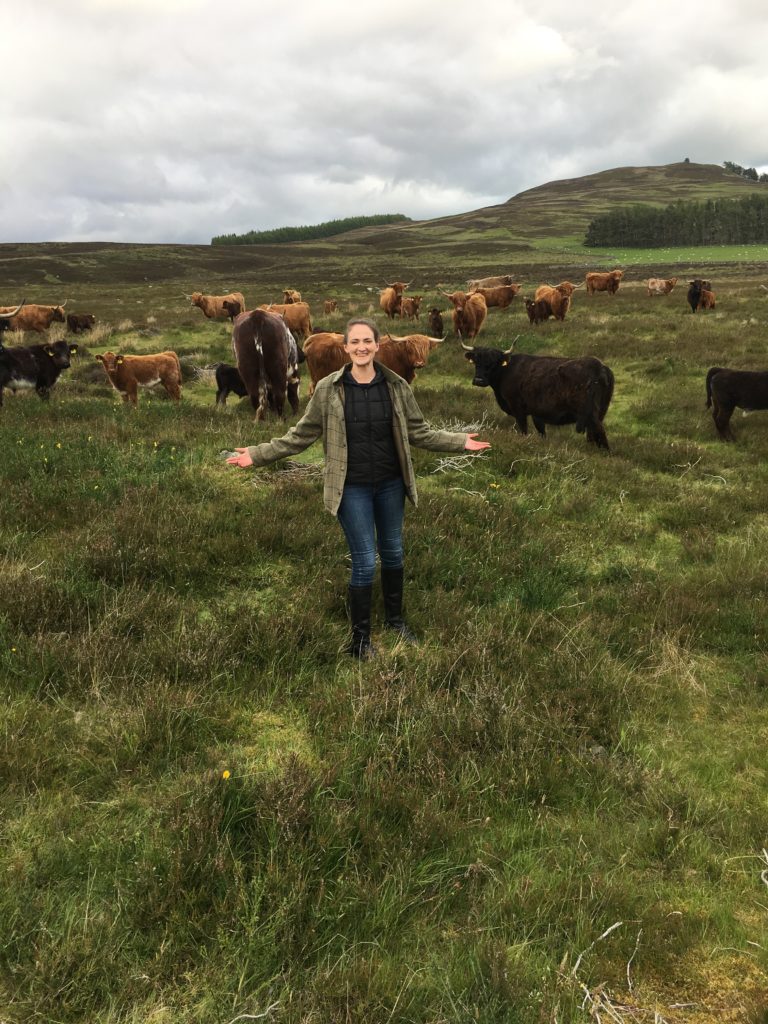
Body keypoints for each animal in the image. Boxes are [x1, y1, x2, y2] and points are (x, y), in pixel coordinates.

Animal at [460, 344, 618, 448]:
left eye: (493, 363)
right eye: (476, 361)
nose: (479, 380)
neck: (507, 370)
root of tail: (600, 367)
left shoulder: (518, 409)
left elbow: (523, 430)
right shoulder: (537, 414)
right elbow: (541, 432)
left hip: (590, 413)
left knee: (600, 433)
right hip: (600, 411)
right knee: (593, 435)